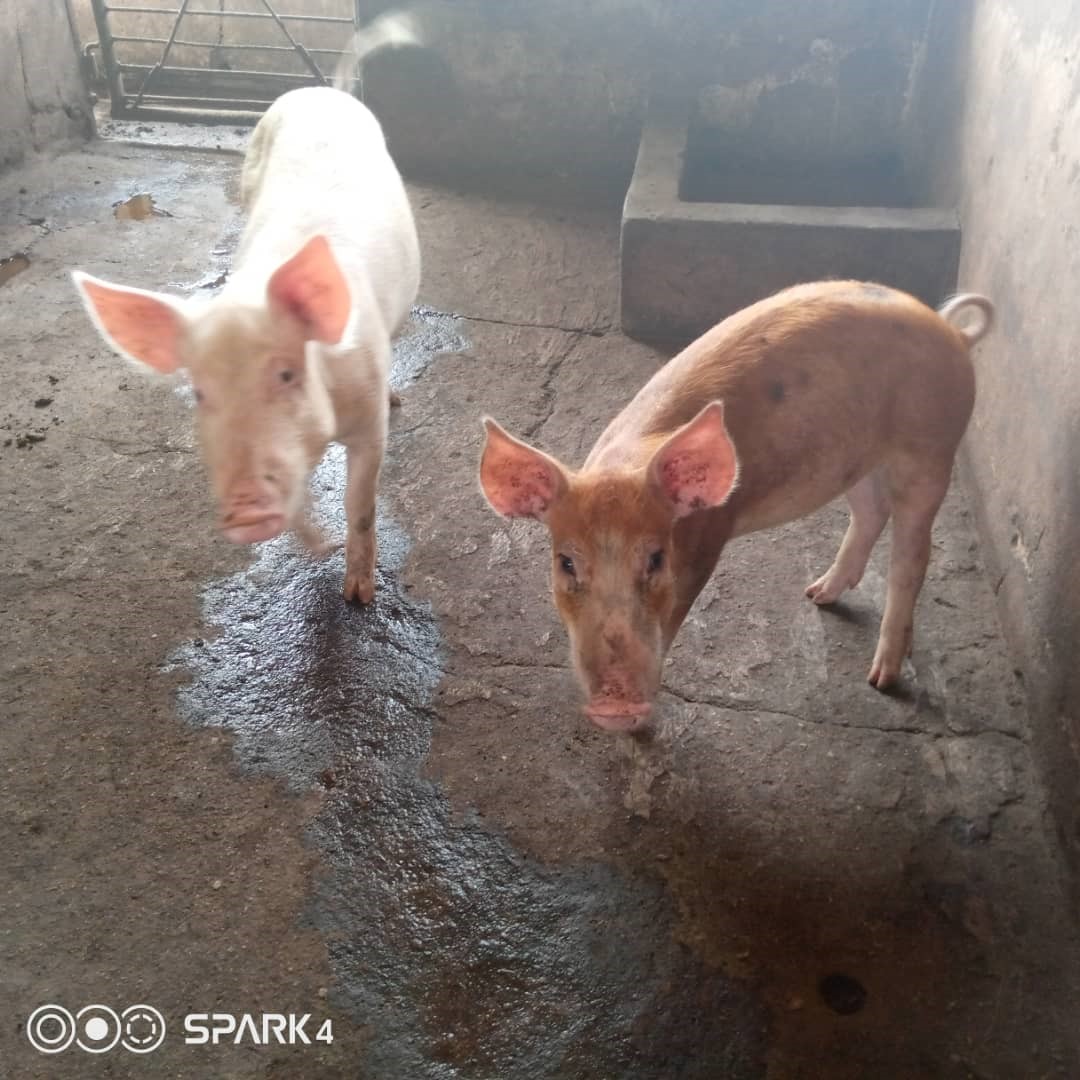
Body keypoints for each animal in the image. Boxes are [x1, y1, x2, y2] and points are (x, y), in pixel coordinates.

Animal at [72, 15, 422, 603]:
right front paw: (317, 546)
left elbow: (361, 505)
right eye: (199, 393)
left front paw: (357, 594)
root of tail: (322, 89)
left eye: (286, 374)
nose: (242, 509)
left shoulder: (370, 423)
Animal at [478, 281, 995, 731]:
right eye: (565, 563)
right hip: (855, 460)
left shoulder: (707, 545)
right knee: (870, 511)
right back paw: (817, 595)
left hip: (932, 451)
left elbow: (671, 622)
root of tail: (953, 331)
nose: (616, 704)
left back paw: (881, 679)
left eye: (656, 559)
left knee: (913, 556)